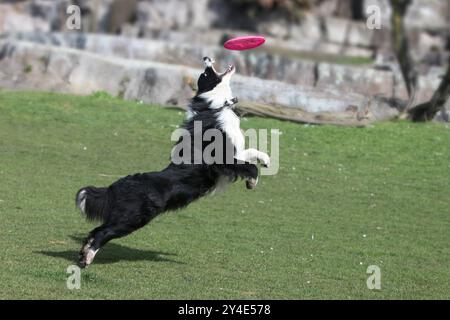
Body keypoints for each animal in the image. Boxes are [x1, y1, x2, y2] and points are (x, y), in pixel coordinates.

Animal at [75, 57, 268, 268]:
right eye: (205, 73)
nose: (206, 58)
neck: (214, 106)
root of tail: (114, 186)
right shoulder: (221, 160)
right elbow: (249, 166)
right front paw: (252, 182)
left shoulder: (234, 153)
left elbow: (252, 152)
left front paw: (266, 160)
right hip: (133, 218)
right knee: (102, 232)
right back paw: (88, 257)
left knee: (95, 231)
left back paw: (83, 254)